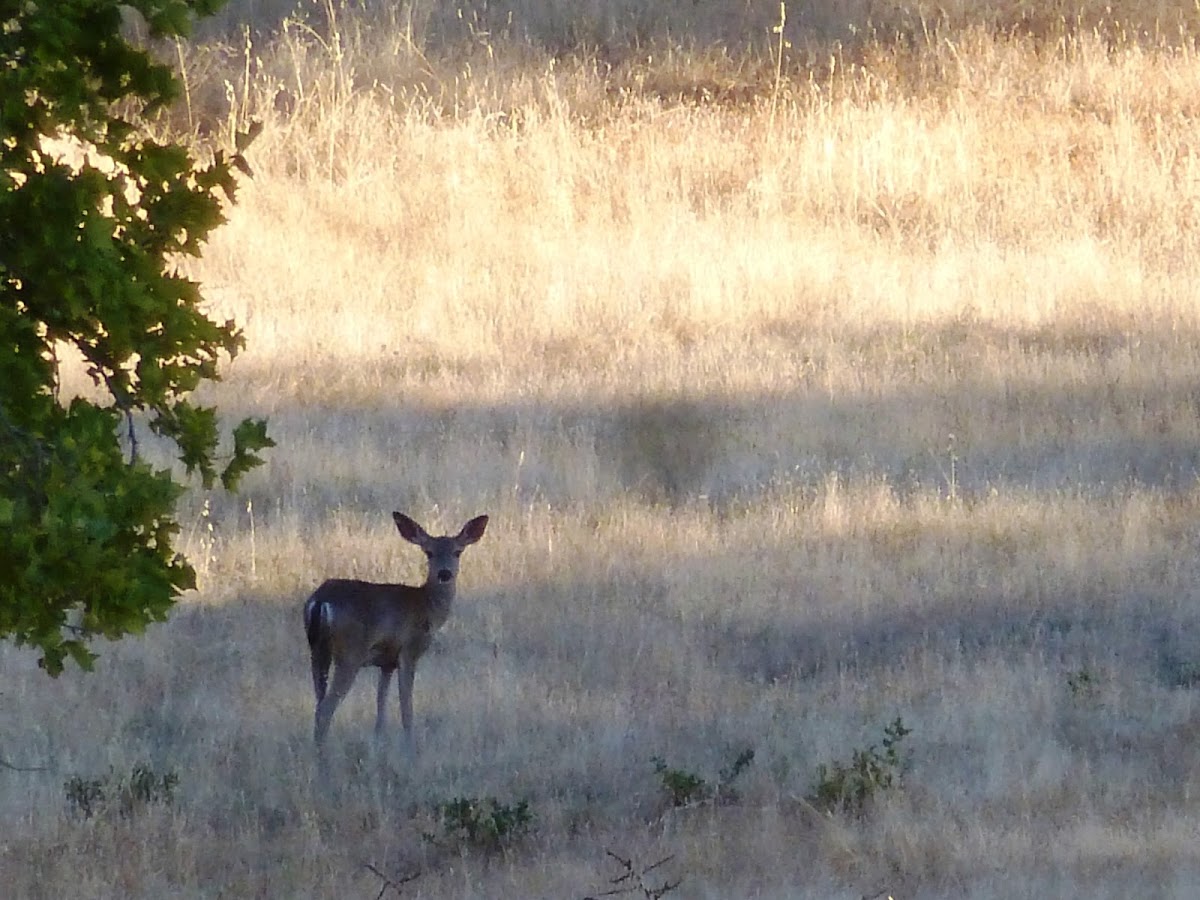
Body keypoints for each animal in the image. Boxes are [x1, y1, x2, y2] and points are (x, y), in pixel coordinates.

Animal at [304, 513, 487, 753]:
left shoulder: (387, 662)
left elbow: (381, 704)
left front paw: (379, 741)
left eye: (458, 551)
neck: (427, 606)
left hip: (317, 650)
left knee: (318, 703)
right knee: (326, 709)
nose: (444, 574)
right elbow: (406, 706)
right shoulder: (410, 650)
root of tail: (320, 600)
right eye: (429, 552)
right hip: (350, 653)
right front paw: (410, 746)